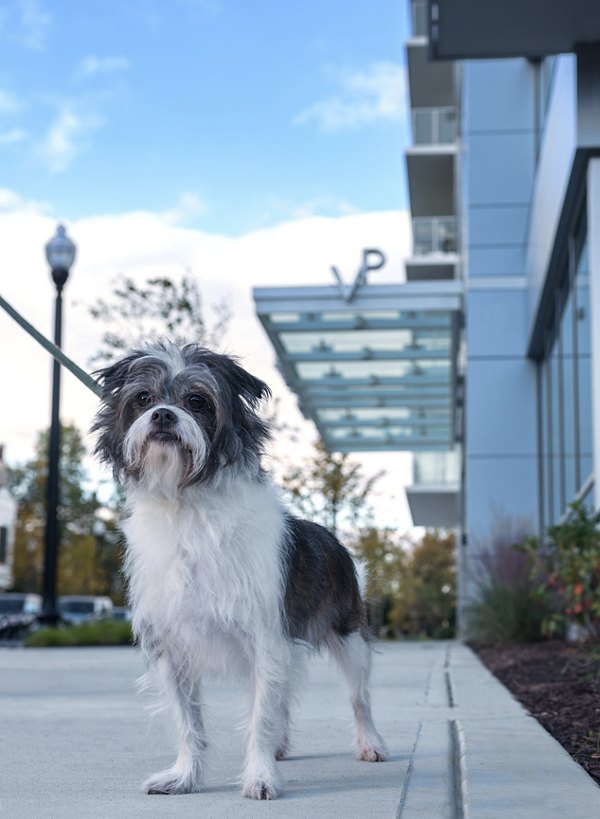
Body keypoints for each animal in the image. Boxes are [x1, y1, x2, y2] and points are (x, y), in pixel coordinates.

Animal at [91, 342, 386, 800]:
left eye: (197, 401)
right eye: (143, 398)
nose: (163, 415)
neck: (186, 505)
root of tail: (336, 540)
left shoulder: (266, 639)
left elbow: (260, 718)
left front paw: (260, 776)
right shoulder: (172, 649)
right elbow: (189, 721)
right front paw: (185, 776)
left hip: (349, 638)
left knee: (359, 697)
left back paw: (370, 743)